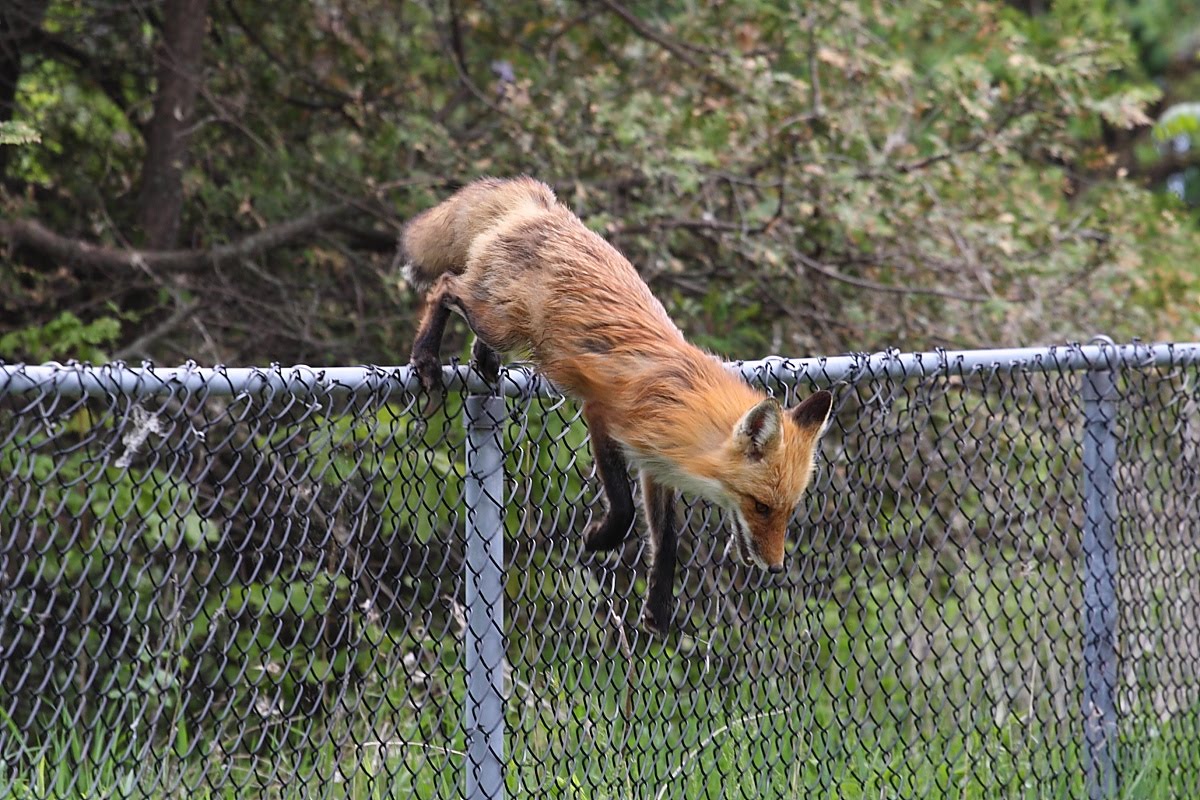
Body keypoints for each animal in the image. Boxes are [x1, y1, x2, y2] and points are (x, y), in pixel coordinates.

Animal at [403, 177, 833, 635]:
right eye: (761, 507)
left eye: (788, 510)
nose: (776, 567)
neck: (681, 404)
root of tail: (544, 203)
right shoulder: (603, 415)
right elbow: (625, 509)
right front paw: (601, 538)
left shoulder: (657, 463)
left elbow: (667, 539)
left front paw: (659, 606)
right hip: (500, 322)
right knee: (445, 286)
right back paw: (426, 355)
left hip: (501, 320)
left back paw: (483, 361)